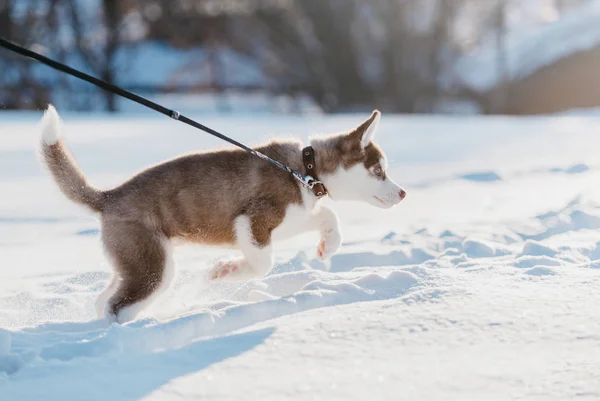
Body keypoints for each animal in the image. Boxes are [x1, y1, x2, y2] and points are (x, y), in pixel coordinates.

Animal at [39, 105, 406, 322]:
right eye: (378, 171)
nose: (403, 193)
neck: (305, 169)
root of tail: (109, 196)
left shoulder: (293, 215)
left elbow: (328, 214)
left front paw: (328, 246)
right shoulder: (253, 220)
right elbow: (263, 263)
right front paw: (227, 270)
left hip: (133, 261)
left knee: (106, 298)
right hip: (153, 267)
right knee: (117, 305)